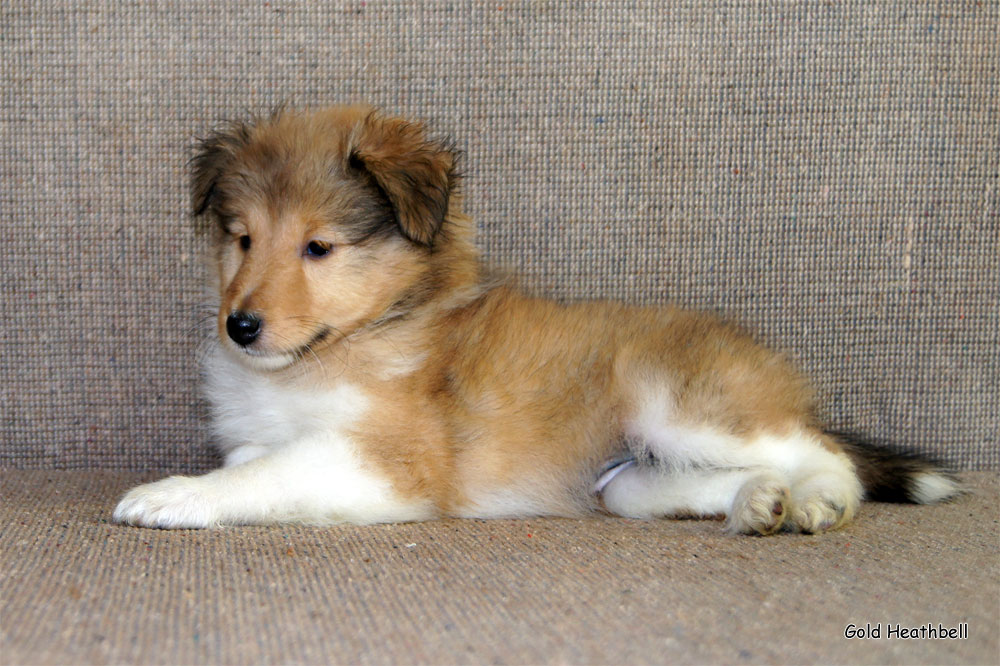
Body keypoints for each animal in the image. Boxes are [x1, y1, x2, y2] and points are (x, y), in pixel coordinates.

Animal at [111, 109, 960, 536]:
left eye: (318, 247)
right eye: (241, 238)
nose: (240, 327)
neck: (350, 340)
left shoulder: (389, 461)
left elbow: (262, 476)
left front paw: (169, 496)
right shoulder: (268, 436)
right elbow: (253, 461)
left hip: (679, 407)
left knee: (825, 451)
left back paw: (817, 500)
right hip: (626, 476)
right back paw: (757, 503)